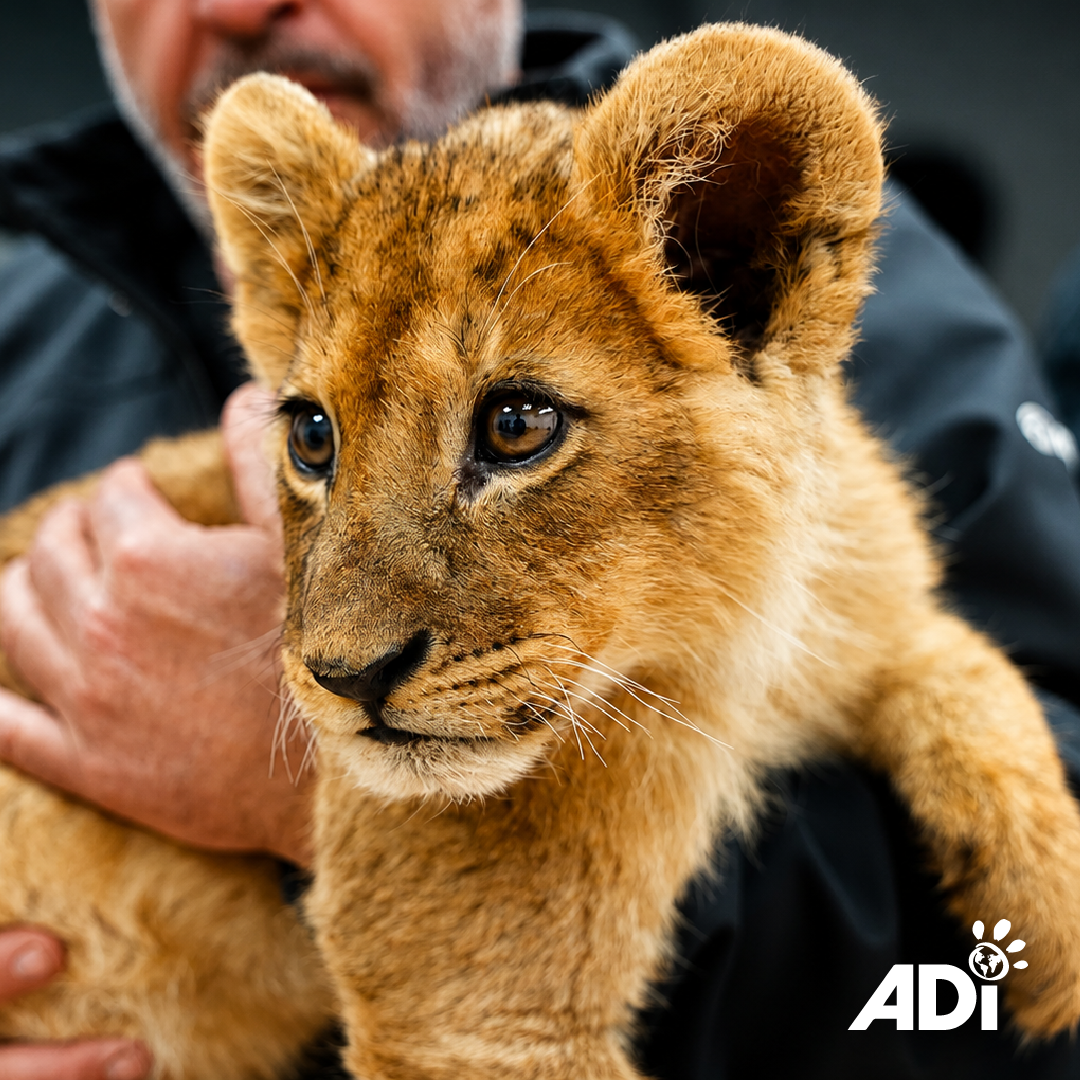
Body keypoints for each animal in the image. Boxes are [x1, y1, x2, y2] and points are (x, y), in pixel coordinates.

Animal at [1, 21, 1080, 1080]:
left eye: (517, 425)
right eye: (312, 437)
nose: (348, 677)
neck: (734, 634)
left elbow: (966, 661)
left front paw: (1052, 926)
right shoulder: (475, 1013)